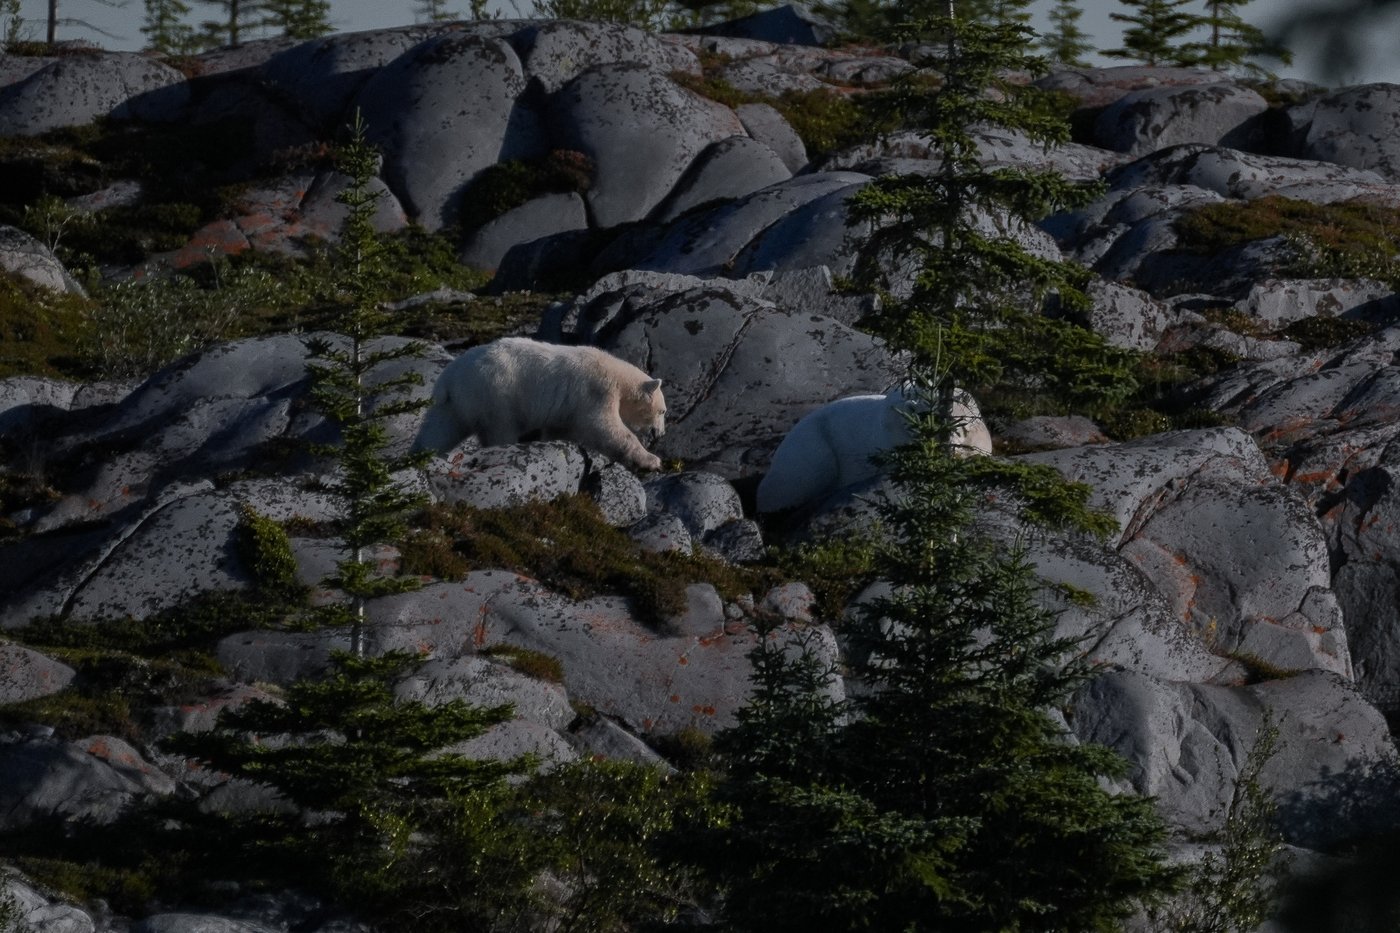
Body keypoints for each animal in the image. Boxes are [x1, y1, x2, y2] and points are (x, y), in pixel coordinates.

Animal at [412, 336, 667, 471]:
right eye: (663, 411)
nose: (660, 433)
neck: (618, 376)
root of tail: (449, 377)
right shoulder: (596, 391)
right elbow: (604, 426)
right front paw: (652, 460)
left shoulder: (566, 409)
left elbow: (559, 428)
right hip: (496, 393)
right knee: (500, 428)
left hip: (454, 403)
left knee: (439, 428)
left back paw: (420, 453)